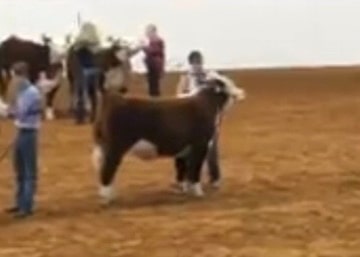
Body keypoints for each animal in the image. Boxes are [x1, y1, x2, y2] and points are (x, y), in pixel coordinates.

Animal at [91, 71, 246, 204]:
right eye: (228, 83)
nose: (241, 92)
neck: (207, 103)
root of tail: (111, 96)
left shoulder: (186, 149)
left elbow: (185, 170)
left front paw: (185, 190)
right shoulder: (200, 145)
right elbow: (195, 170)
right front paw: (198, 193)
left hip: (103, 146)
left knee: (105, 171)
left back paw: (110, 196)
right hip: (115, 148)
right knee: (107, 171)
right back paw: (107, 199)